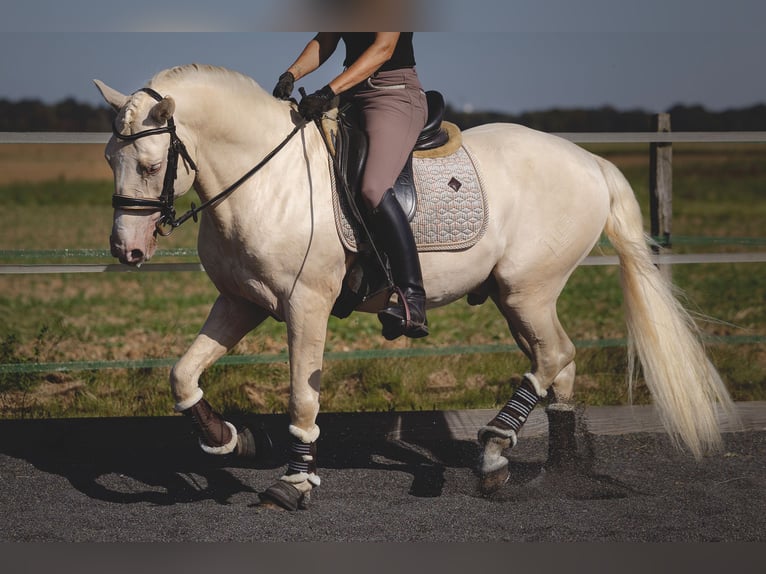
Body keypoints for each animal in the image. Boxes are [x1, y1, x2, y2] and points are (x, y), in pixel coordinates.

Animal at [96, 65, 736, 510]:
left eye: (149, 166)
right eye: (109, 159)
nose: (127, 250)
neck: (267, 178)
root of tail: (589, 162)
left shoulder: (307, 306)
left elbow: (302, 397)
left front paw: (295, 483)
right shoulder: (242, 301)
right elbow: (183, 374)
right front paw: (230, 440)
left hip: (528, 290)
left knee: (555, 355)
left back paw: (493, 449)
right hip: (517, 298)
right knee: (559, 366)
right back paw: (550, 469)